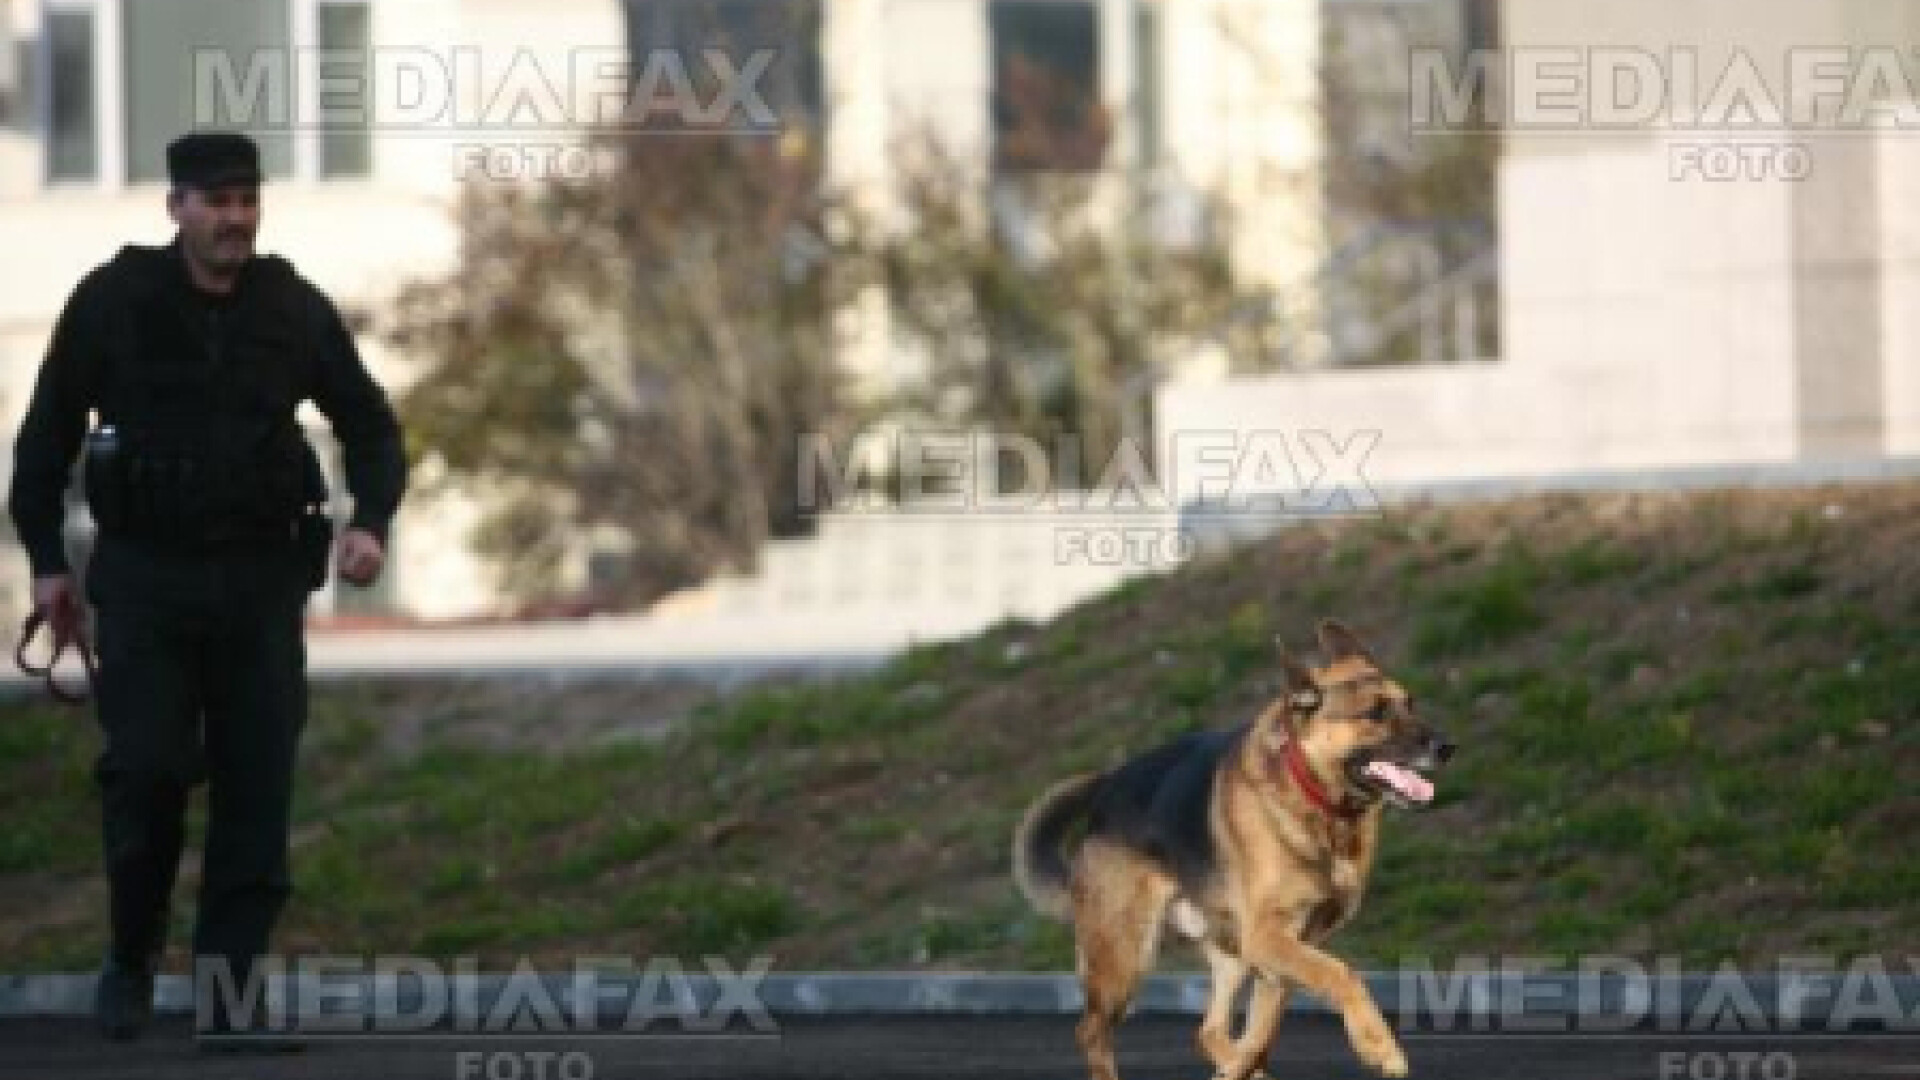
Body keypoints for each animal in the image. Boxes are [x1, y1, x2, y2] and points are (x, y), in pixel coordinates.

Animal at [1013, 618, 1443, 1068]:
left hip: (1231, 957)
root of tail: (1107, 789)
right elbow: (1340, 973)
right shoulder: (1268, 939)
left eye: (1411, 704)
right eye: (1375, 713)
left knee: (1210, 1032)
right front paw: (1377, 1044)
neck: (1314, 798)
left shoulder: (1288, 949)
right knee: (1092, 1032)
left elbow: (1259, 1038)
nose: (1447, 748)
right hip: (1126, 958)